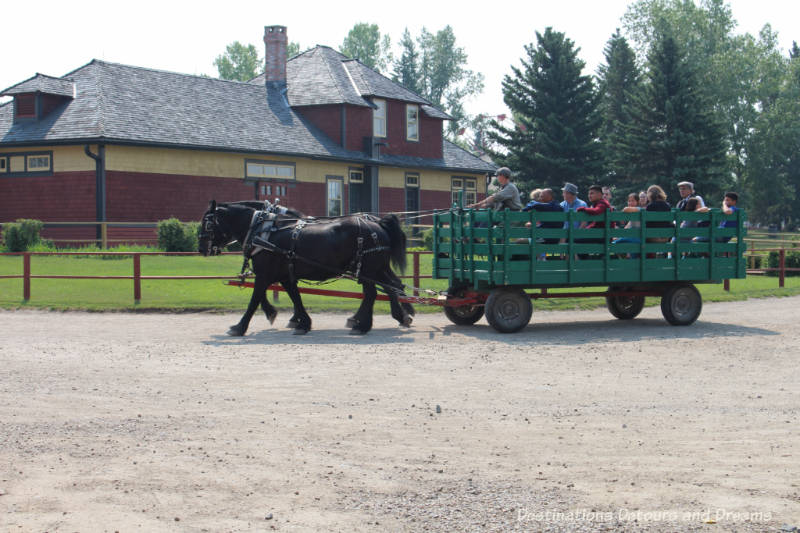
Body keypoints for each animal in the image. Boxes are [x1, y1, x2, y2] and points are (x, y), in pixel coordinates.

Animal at [198, 202, 416, 334]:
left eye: (207, 224)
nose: (201, 248)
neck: (263, 232)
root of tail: (378, 224)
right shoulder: (285, 275)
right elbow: (295, 297)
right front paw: (302, 322)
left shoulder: (264, 274)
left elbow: (255, 299)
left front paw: (240, 326)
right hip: (374, 269)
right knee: (391, 286)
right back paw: (395, 316)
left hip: (368, 270)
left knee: (374, 292)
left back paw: (363, 325)